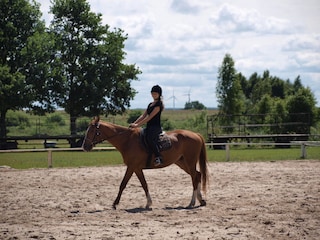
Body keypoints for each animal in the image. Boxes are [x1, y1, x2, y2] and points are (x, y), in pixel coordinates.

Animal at [81, 115, 209, 209]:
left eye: (92, 131)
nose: (85, 146)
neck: (127, 141)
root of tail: (196, 134)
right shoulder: (137, 168)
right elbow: (144, 184)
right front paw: (148, 203)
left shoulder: (131, 167)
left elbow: (123, 184)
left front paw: (115, 203)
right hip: (182, 163)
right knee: (197, 175)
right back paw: (201, 200)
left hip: (190, 162)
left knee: (194, 178)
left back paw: (192, 202)